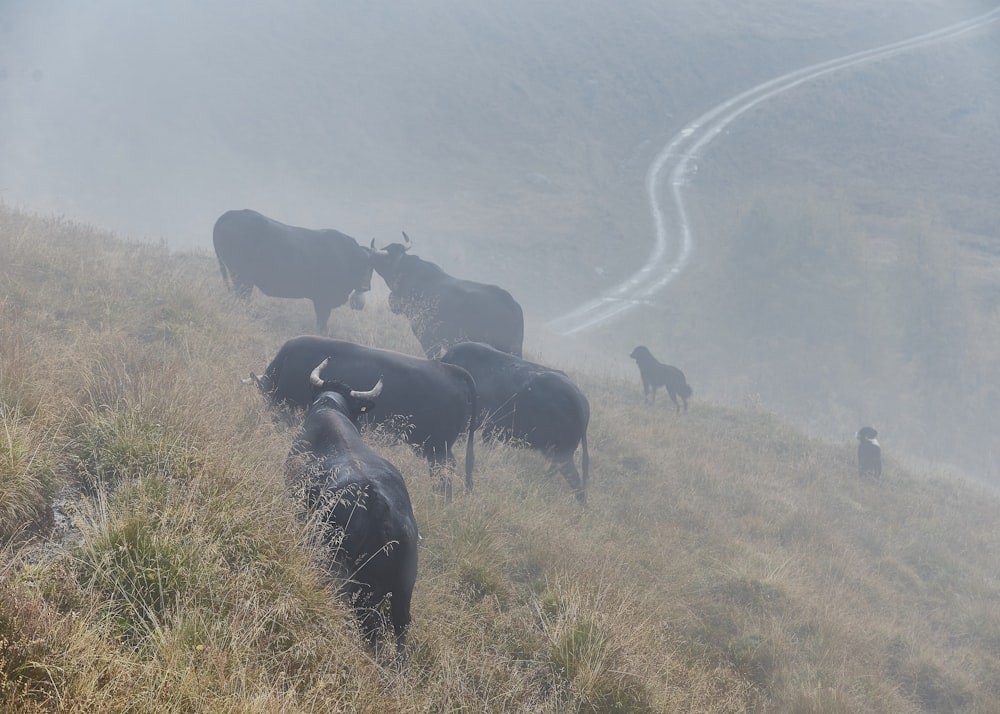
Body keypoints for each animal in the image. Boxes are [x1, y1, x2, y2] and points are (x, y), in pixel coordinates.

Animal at [213, 207, 374, 332]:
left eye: (372, 266)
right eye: (362, 263)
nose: (365, 286)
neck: (345, 256)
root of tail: (234, 213)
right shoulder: (323, 300)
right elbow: (322, 321)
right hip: (242, 278)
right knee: (242, 297)